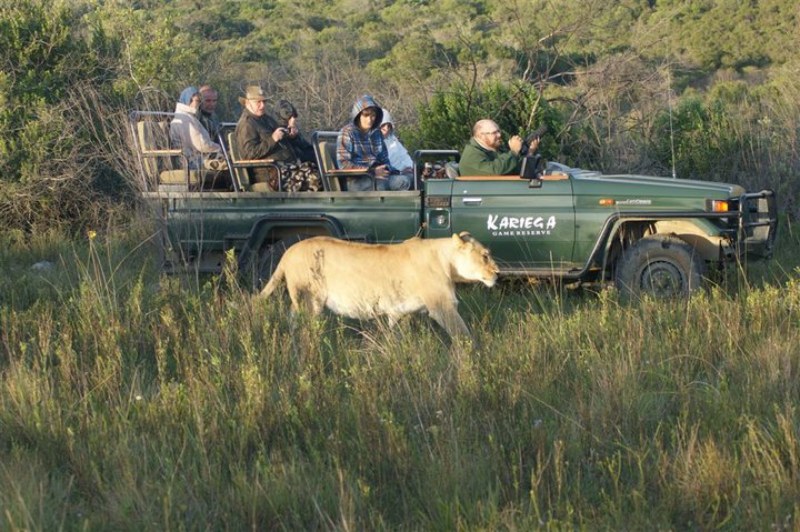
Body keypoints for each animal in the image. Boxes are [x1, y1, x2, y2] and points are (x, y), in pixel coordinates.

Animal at [258, 231, 499, 339]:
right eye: (485, 256)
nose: (497, 273)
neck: (446, 260)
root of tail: (288, 252)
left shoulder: (402, 311)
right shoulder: (443, 306)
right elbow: (463, 335)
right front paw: (471, 360)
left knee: (291, 318)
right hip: (311, 302)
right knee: (304, 327)